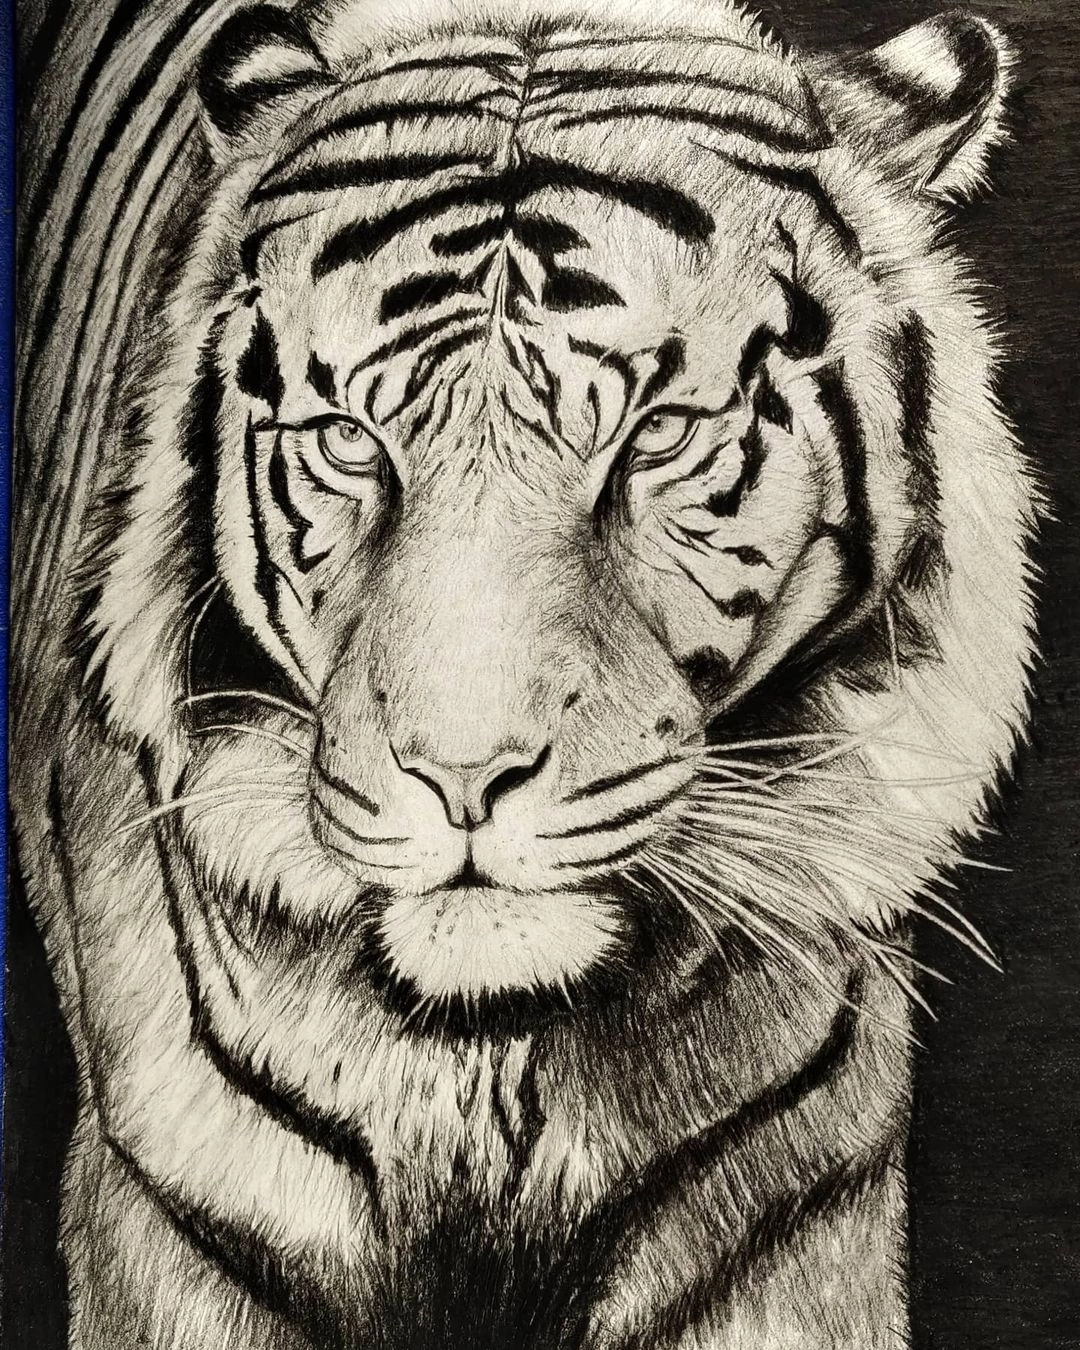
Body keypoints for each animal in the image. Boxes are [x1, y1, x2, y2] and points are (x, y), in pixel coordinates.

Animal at [11, 0, 1038, 1345]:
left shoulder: (789, 1216)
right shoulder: (174, 1209)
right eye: (350, 441)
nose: (462, 780)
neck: (494, 1055)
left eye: (659, 436)